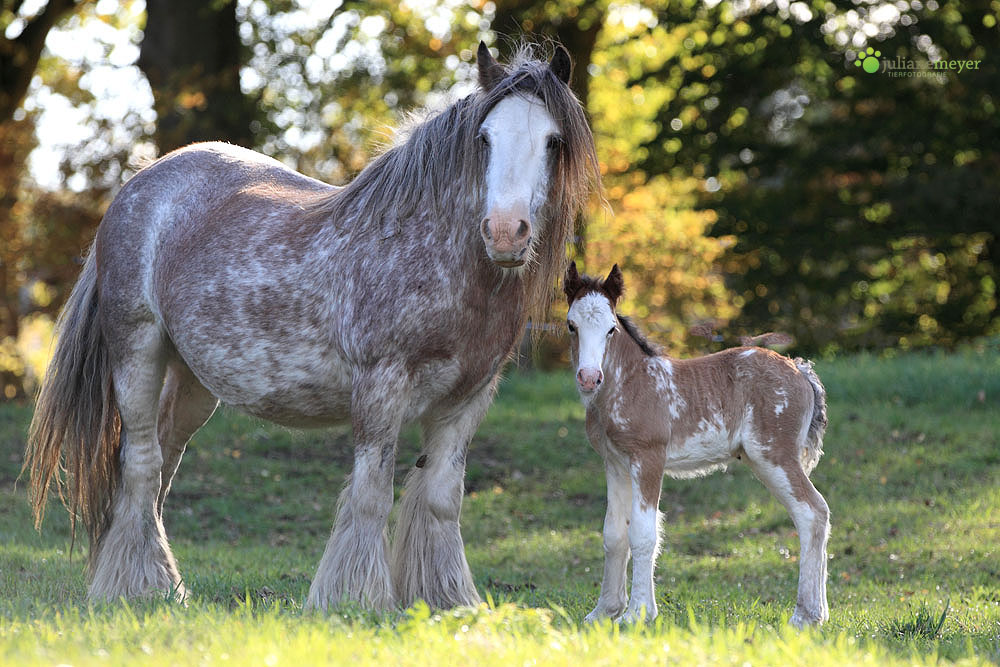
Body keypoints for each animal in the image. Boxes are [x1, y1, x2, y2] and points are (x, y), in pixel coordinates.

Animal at [27, 43, 596, 612]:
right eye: (484, 138)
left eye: (553, 141)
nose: (505, 233)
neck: (433, 254)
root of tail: (138, 187)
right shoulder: (380, 387)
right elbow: (371, 495)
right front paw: (354, 600)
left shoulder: (467, 399)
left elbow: (439, 499)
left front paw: (446, 600)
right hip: (137, 353)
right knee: (141, 462)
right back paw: (135, 588)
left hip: (192, 382)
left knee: (160, 469)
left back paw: (164, 587)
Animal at [564, 264, 828, 628]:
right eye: (571, 325)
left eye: (611, 329)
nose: (589, 378)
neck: (632, 384)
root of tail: (800, 368)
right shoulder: (615, 463)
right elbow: (614, 534)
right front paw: (604, 612)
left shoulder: (648, 458)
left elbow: (643, 534)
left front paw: (637, 614)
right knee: (815, 514)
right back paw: (819, 613)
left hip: (774, 455)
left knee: (812, 512)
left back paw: (804, 616)